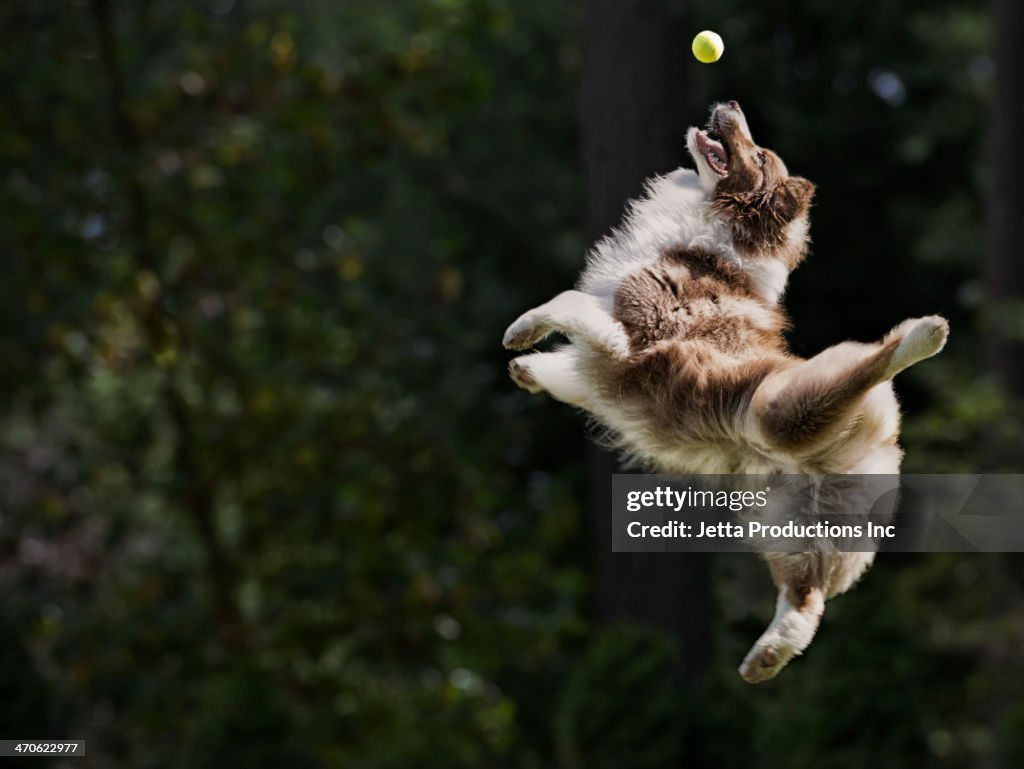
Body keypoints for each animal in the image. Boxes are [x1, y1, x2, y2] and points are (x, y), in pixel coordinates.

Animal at [499, 99, 946, 684]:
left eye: (757, 154)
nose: (730, 104)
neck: (719, 232)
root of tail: (885, 438)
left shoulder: (626, 333)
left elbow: (564, 301)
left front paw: (521, 333)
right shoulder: (602, 363)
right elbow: (569, 364)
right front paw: (527, 369)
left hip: (782, 413)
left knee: (868, 366)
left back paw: (922, 334)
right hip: (788, 523)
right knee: (807, 598)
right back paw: (765, 658)